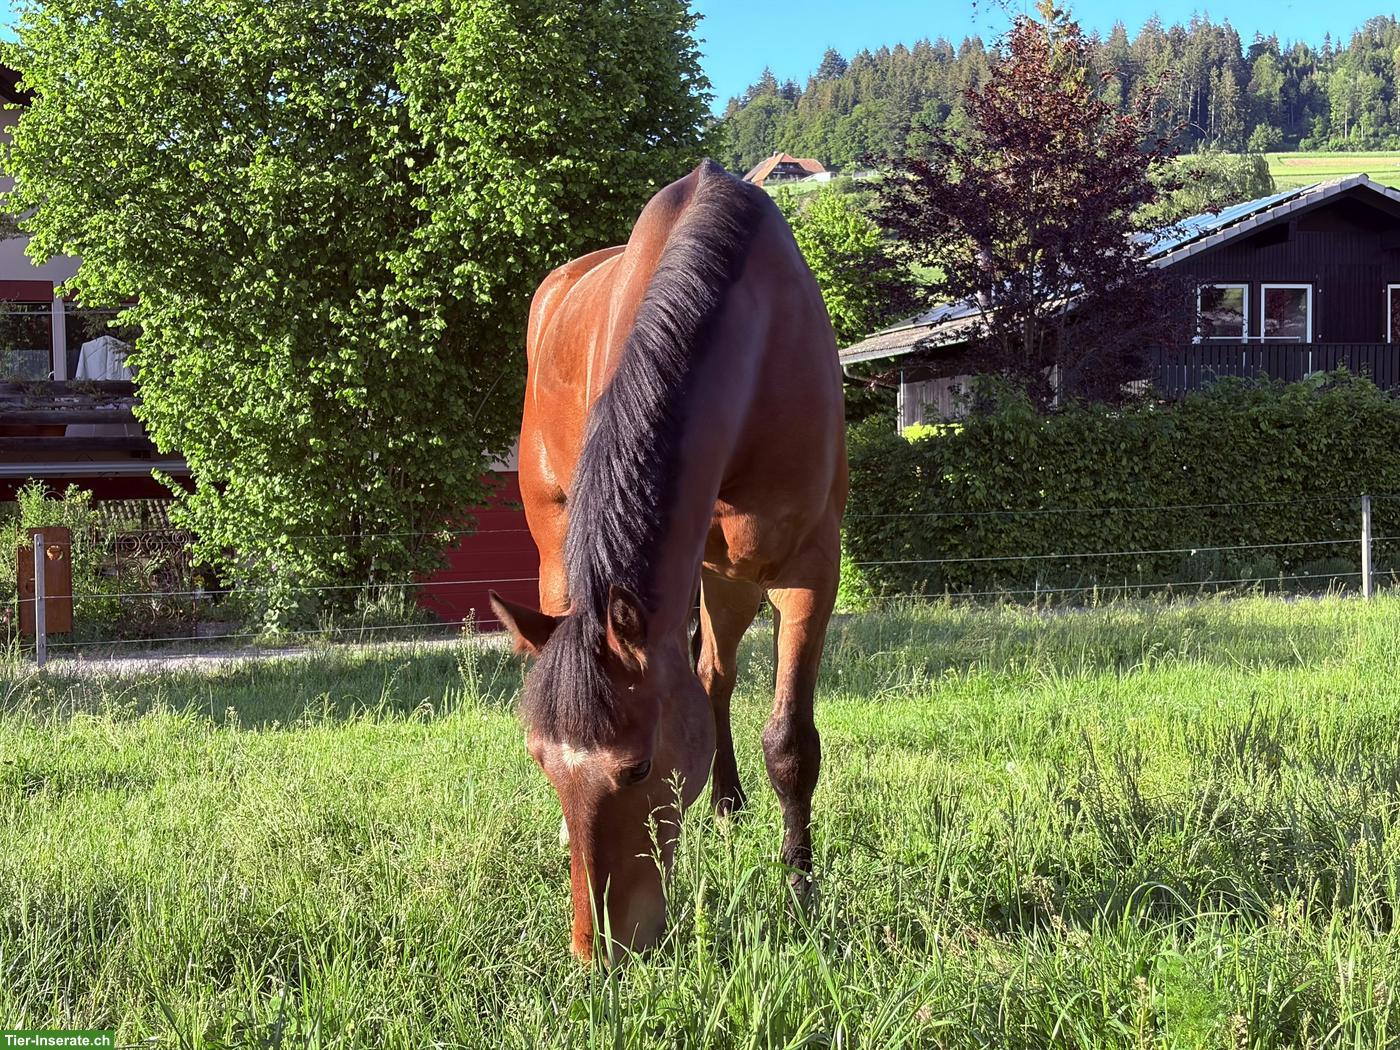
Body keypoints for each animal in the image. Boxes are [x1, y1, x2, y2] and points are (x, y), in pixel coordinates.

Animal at [489, 158, 846, 963]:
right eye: (540, 762)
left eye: (639, 767)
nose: (598, 952)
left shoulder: (809, 566)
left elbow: (790, 744)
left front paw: (803, 893)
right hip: (564, 549)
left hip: (727, 575)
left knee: (714, 673)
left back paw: (730, 805)